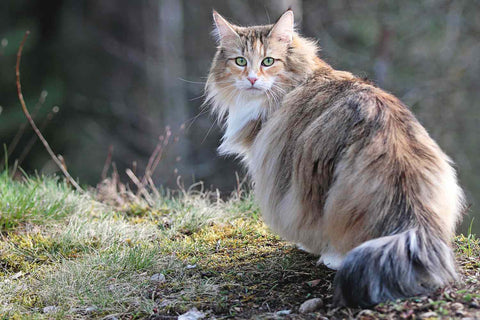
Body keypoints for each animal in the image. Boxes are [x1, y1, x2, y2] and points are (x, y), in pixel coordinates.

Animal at [205, 8, 464, 306]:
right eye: (240, 61)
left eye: (268, 61)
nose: (252, 79)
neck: (300, 79)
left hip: (317, 182)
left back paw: (331, 256)